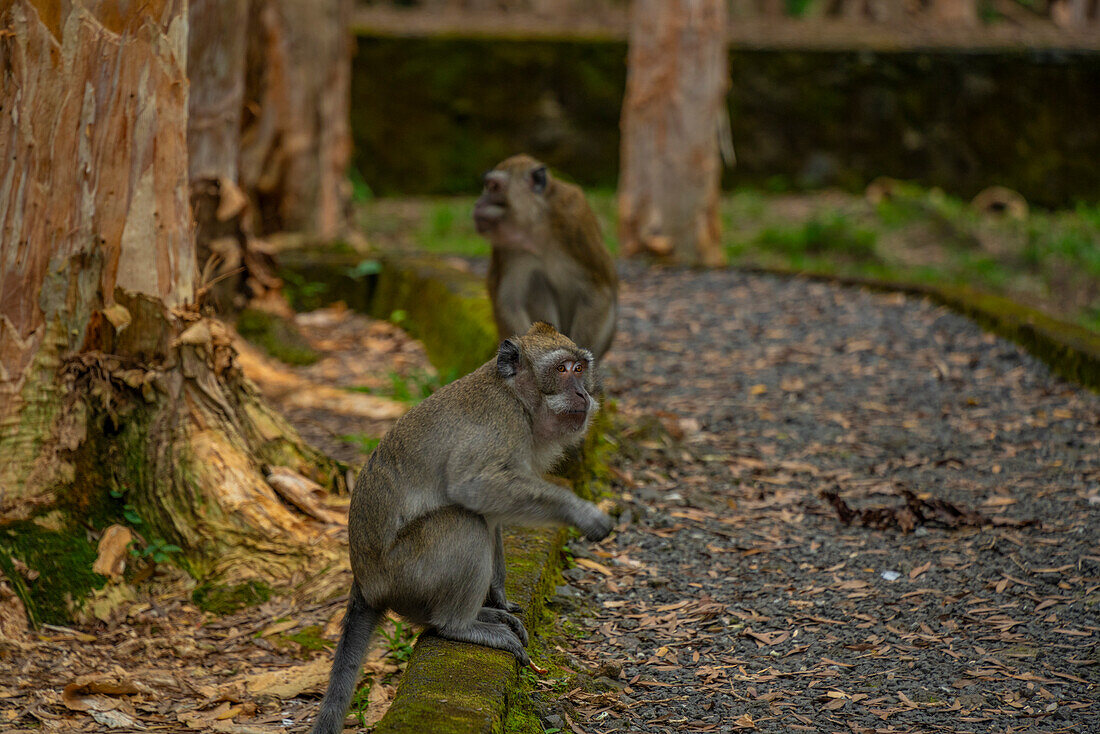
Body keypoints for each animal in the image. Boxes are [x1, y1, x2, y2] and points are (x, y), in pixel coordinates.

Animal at [314, 323, 616, 734]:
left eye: (580, 368)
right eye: (562, 369)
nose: (584, 392)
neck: (516, 397)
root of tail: (364, 582)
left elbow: (493, 513)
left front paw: (499, 596)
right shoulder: (499, 426)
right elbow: (473, 489)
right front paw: (581, 512)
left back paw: (483, 614)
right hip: (405, 572)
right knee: (463, 522)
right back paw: (459, 626)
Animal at [470, 156, 616, 360]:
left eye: (495, 187)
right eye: (487, 186)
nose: (479, 203)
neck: (537, 225)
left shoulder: (573, 220)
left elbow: (597, 292)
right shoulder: (507, 248)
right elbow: (509, 302)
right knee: (536, 280)